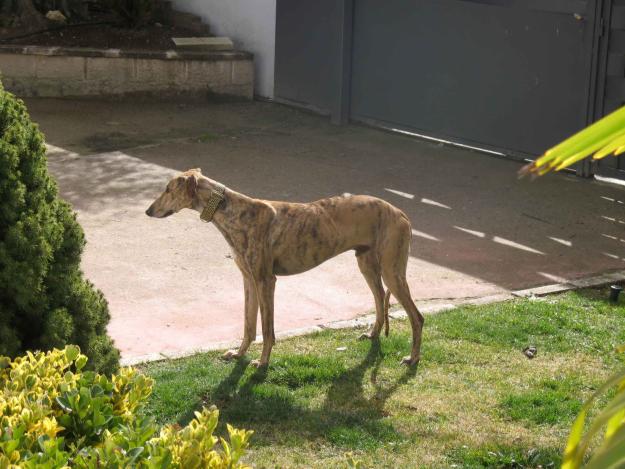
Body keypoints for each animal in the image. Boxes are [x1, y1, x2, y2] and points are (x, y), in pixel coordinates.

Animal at [145, 166, 424, 368]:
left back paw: (412, 359)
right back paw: (373, 335)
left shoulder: (265, 281)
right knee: (379, 300)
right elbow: (248, 326)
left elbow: (267, 330)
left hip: (392, 271)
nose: (148, 211)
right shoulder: (248, 280)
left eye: (168, 189)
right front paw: (238, 354)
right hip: (367, 265)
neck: (234, 211)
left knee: (416, 317)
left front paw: (262, 363)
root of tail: (401, 213)